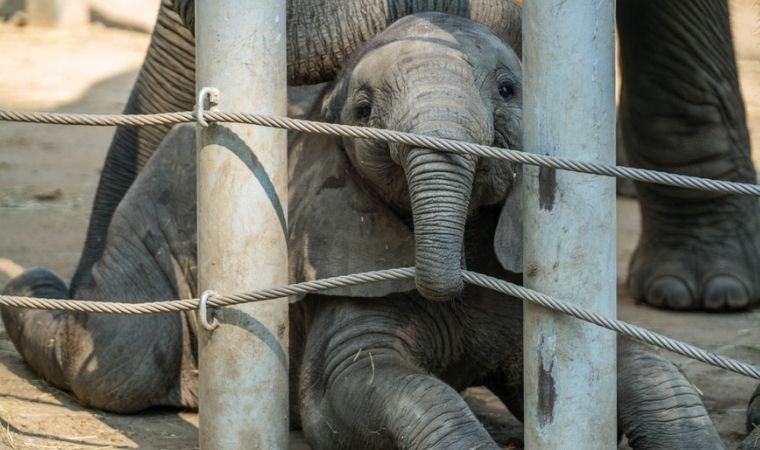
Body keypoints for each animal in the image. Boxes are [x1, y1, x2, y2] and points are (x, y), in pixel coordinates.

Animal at [0, 12, 724, 448]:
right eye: (366, 109)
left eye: (509, 90)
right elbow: (355, 385)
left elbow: (626, 370)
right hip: (147, 238)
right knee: (121, 361)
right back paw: (33, 290)